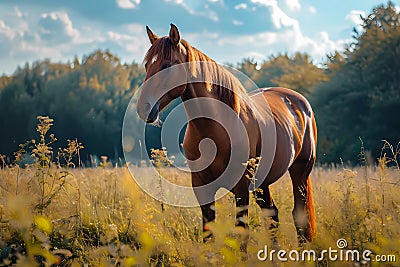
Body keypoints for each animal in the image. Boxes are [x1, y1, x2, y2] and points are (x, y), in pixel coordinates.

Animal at [136, 24, 318, 246]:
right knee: (273, 215)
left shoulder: (241, 188)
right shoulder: (202, 188)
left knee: (299, 217)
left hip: (300, 173)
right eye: (147, 66)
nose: (143, 108)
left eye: (167, 65)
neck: (214, 130)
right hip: (263, 183)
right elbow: (208, 233)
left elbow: (242, 233)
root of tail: (299, 102)